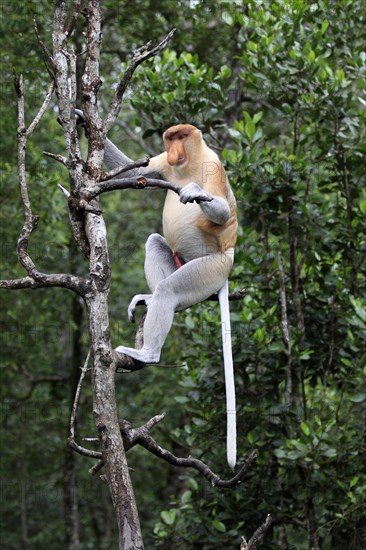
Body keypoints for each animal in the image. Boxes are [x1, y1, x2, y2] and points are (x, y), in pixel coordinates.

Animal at [81, 113, 237, 470]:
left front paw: (197, 193)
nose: (175, 149)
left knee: (171, 289)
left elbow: (223, 209)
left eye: (181, 137)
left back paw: (147, 352)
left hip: (207, 270)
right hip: (180, 262)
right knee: (154, 242)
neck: (189, 161)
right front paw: (80, 119)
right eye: (170, 139)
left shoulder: (213, 165)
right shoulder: (166, 163)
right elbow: (137, 172)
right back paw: (149, 299)